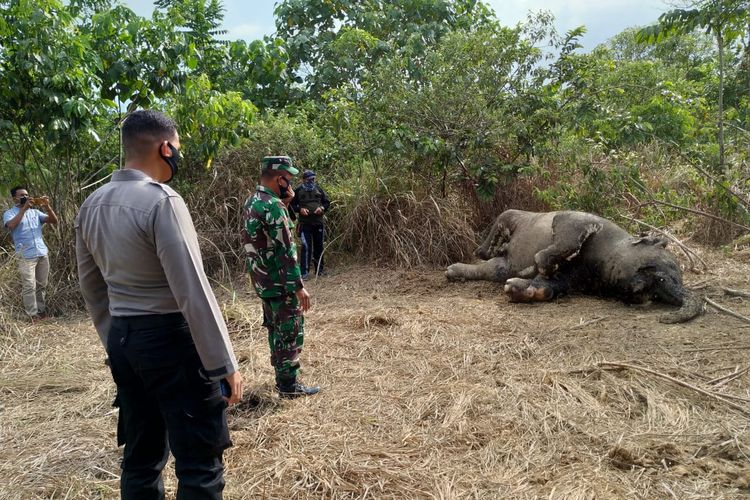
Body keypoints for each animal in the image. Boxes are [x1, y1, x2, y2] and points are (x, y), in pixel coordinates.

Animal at [450, 208, 708, 322]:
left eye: (654, 294)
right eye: (659, 275)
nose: (639, 292)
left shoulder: (576, 278)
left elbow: (550, 287)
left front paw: (519, 287)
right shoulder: (576, 221)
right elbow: (568, 239)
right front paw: (541, 266)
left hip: (500, 263)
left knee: (493, 267)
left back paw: (455, 271)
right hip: (515, 216)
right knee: (499, 227)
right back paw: (482, 251)